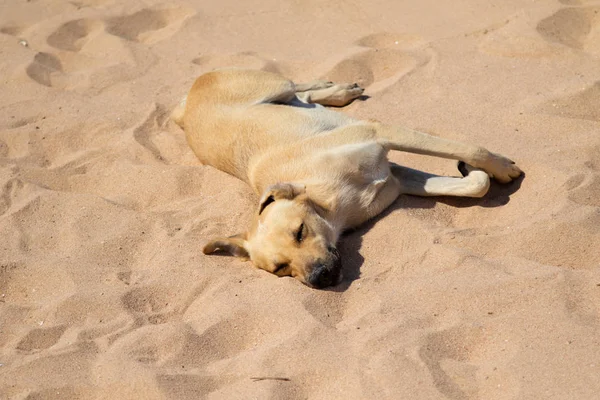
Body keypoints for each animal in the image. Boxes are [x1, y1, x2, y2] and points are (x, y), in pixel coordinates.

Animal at [170, 68, 520, 288]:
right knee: (305, 99)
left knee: (296, 85)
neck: (331, 202)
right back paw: (336, 94)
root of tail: (185, 105)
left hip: (272, 85)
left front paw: (500, 166)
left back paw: (334, 88)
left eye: (300, 232)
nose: (319, 279)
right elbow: (475, 185)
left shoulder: (381, 134)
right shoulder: (398, 180)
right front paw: (474, 171)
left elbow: (471, 149)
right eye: (280, 269)